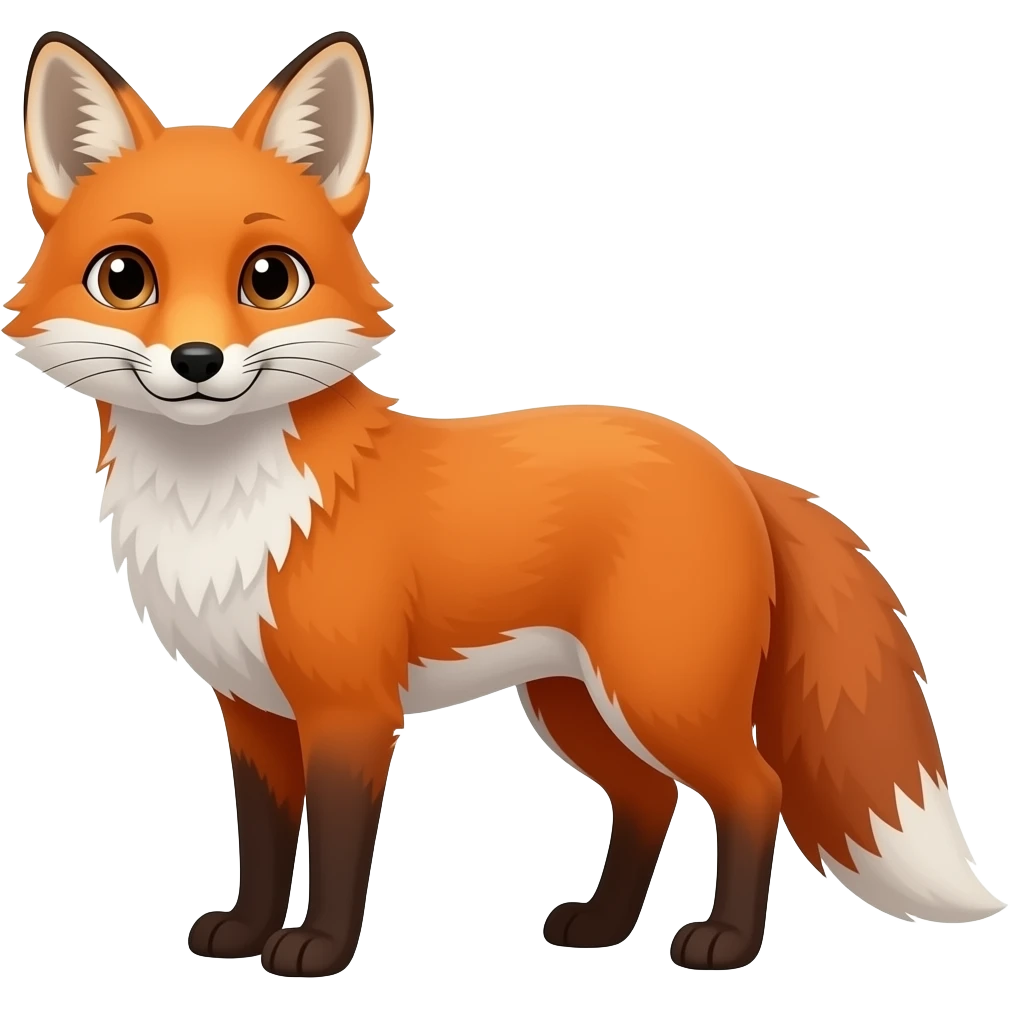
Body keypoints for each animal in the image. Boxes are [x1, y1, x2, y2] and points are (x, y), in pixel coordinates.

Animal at [5, 29, 1004, 978]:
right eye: (125, 277)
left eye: (269, 278)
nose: (198, 361)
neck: (220, 510)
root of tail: (728, 464)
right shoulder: (250, 710)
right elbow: (262, 841)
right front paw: (247, 933)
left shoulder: (351, 708)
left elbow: (337, 847)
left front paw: (317, 951)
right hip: (575, 702)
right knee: (650, 798)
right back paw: (601, 928)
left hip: (660, 696)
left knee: (757, 792)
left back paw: (725, 943)